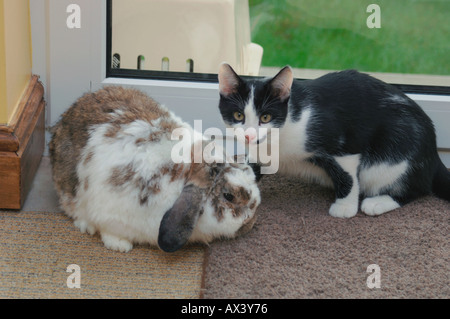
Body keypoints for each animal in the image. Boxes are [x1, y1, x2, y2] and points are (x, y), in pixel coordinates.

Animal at [216, 63, 448, 218]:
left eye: (265, 117)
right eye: (238, 115)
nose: (249, 135)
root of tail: (434, 154)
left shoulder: (344, 143)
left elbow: (347, 175)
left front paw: (345, 207)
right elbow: (249, 168)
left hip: (396, 156)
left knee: (417, 187)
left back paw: (378, 202)